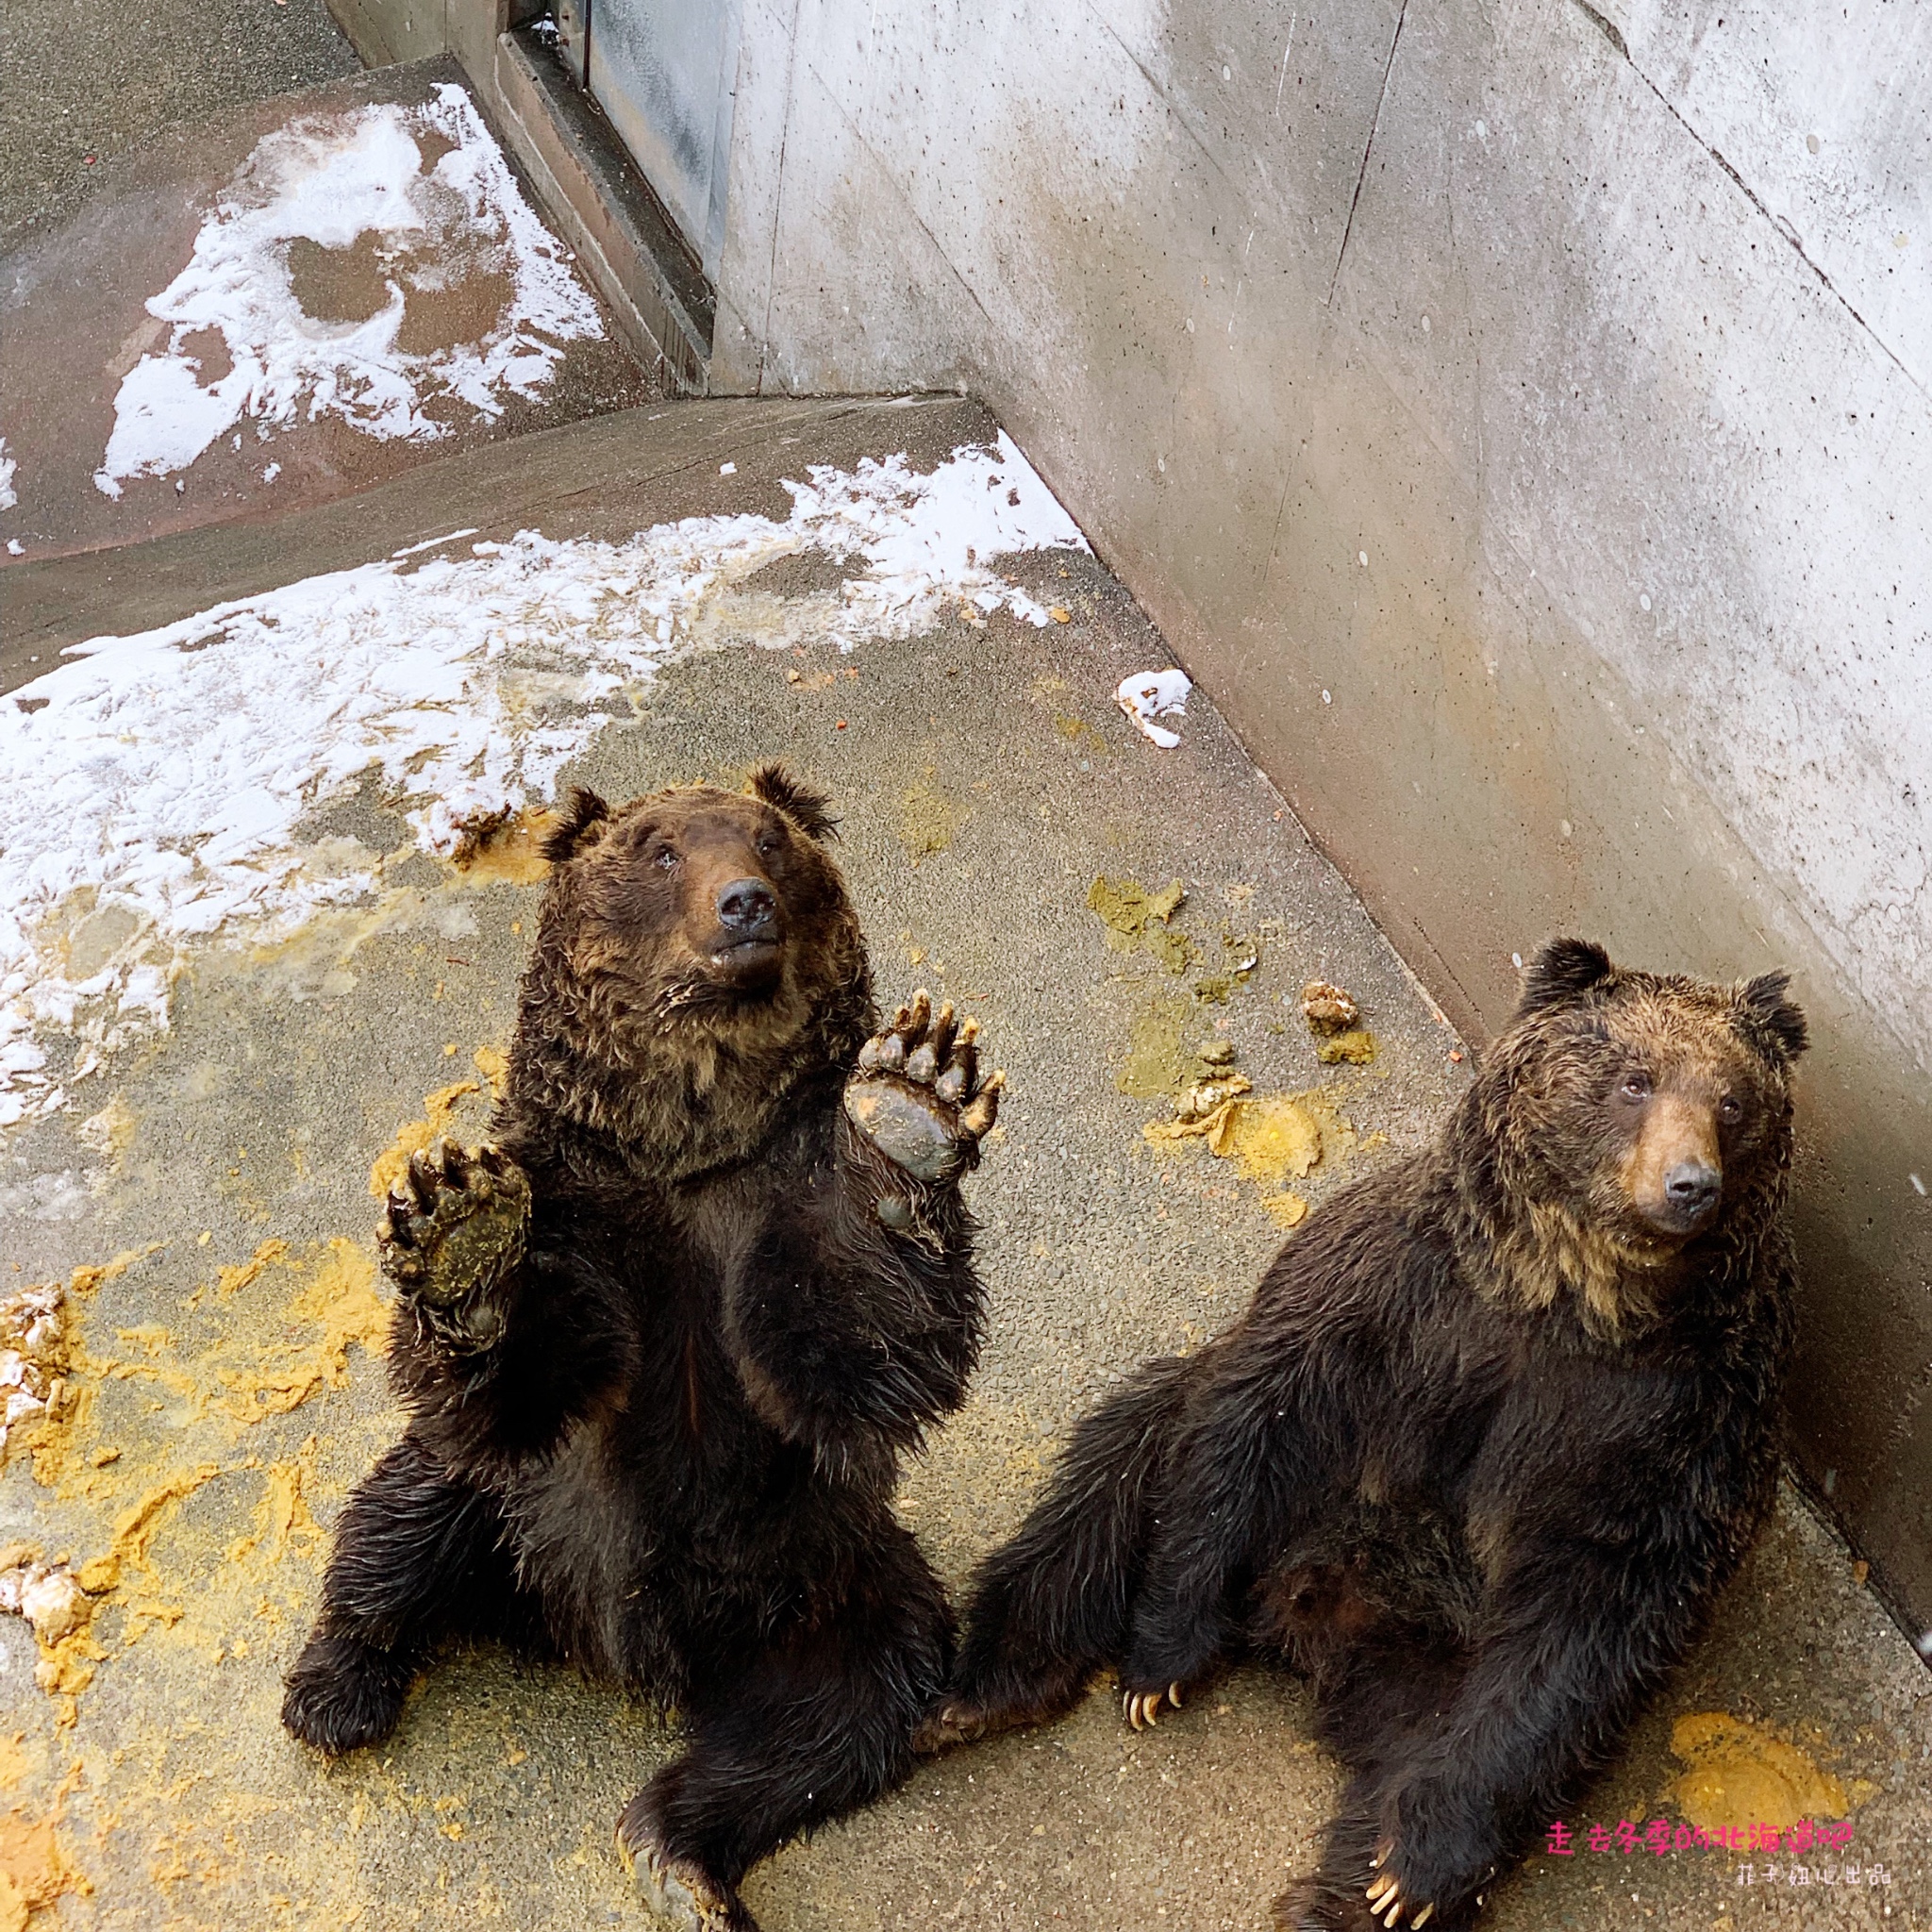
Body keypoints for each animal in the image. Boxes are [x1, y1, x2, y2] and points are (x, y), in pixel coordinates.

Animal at [288, 769, 1012, 1932]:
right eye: (661, 849)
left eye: (769, 839)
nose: (745, 902)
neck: (692, 1147)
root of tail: (595, 1642)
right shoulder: (580, 1203)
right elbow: (536, 1373)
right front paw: (459, 1237)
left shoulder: (773, 1213)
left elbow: (860, 1348)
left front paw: (913, 1097)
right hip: (516, 1509)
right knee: (402, 1517)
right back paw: (336, 1686)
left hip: (826, 1572)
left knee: (838, 1712)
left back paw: (682, 1858)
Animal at [911, 935, 1800, 1932]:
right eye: (1634, 1080)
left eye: (1733, 1101)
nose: (1690, 1185)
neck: (1567, 1294)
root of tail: (1312, 1627)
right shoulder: (1392, 1288)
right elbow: (1258, 1416)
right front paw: (1159, 1660)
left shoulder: (1672, 1423)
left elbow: (1594, 1618)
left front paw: (1415, 1867)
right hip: (1218, 1451)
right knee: (1112, 1482)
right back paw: (977, 1693)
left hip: (1439, 1667)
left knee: (1421, 1772)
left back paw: (1381, 1885)